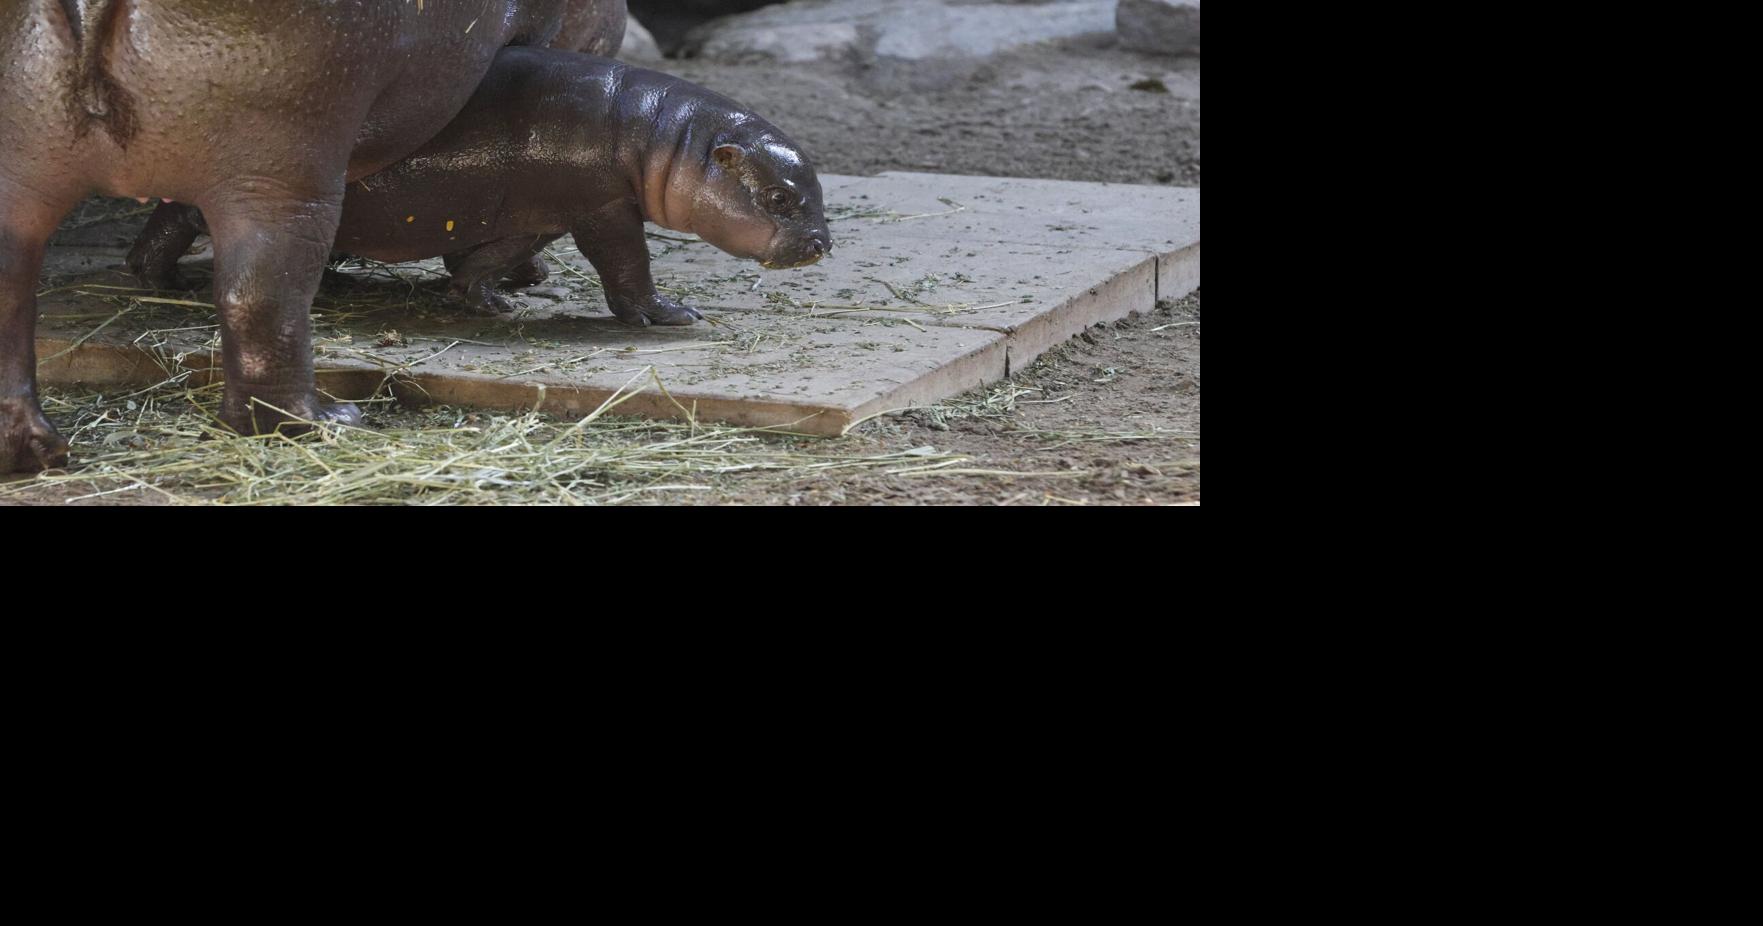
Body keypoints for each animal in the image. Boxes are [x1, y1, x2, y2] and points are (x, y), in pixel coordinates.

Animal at [0, 0, 626, 474]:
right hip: (284, 169)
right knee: (260, 298)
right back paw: (322, 421)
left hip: (22, 171)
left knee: (12, 301)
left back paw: (36, 451)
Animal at [131, 48, 832, 327]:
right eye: (778, 199)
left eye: (816, 189)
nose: (822, 244)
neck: (666, 136)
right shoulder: (604, 207)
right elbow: (628, 264)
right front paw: (673, 315)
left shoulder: (537, 214)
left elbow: (491, 258)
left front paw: (487, 300)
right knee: (176, 222)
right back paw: (166, 283)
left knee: (167, 221)